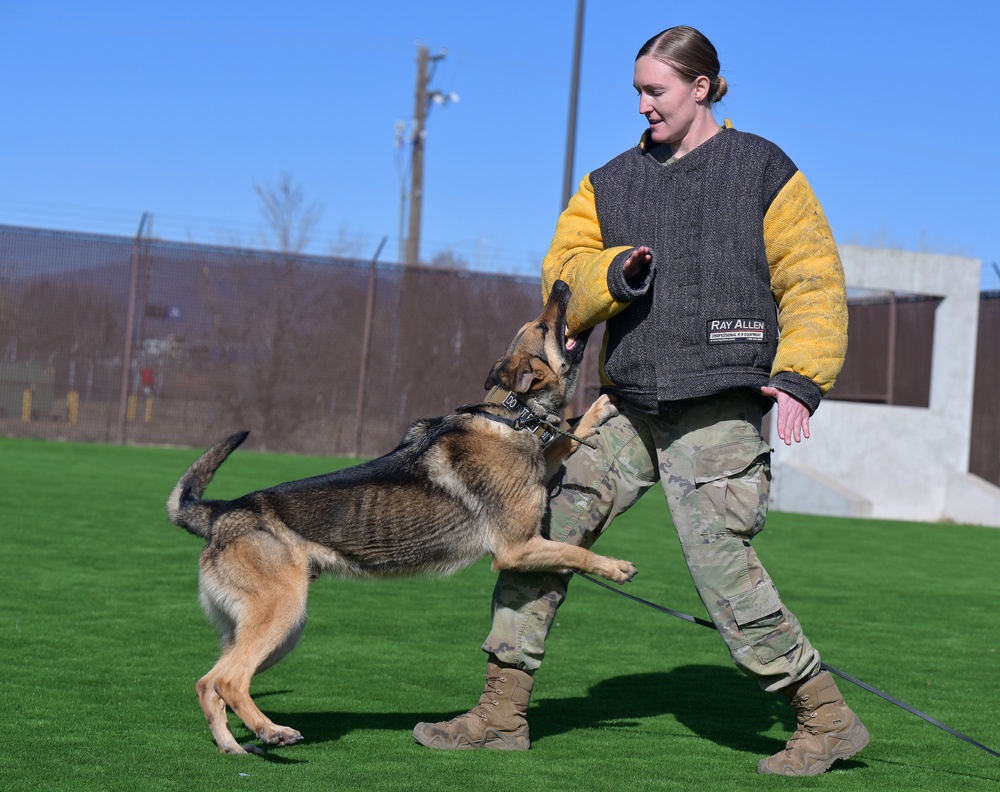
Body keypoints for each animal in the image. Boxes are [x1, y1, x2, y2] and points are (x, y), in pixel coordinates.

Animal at [164, 280, 632, 756]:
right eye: (542, 326)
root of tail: (221, 513)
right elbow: (575, 552)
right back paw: (273, 731)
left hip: (273, 632)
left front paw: (601, 407)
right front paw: (615, 567)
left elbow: (568, 437)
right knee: (229, 682)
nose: (560, 284)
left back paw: (233, 747)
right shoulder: (517, 549)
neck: (512, 415)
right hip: (281, 617)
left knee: (207, 684)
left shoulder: (540, 478)